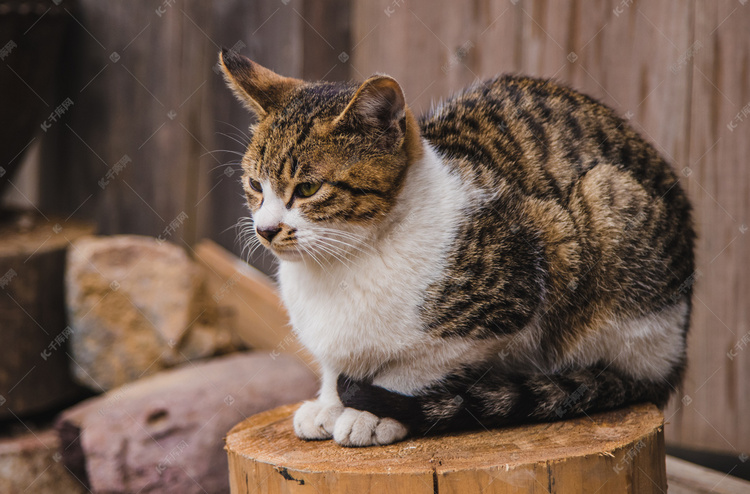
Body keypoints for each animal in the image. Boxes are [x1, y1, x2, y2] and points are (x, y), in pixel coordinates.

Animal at [220, 47, 696, 448]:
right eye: (255, 185)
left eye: (308, 188)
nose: (265, 229)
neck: (341, 264)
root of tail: (673, 360)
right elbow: (337, 362)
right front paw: (329, 403)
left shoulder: (512, 293)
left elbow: (414, 368)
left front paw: (372, 413)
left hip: (609, 206)